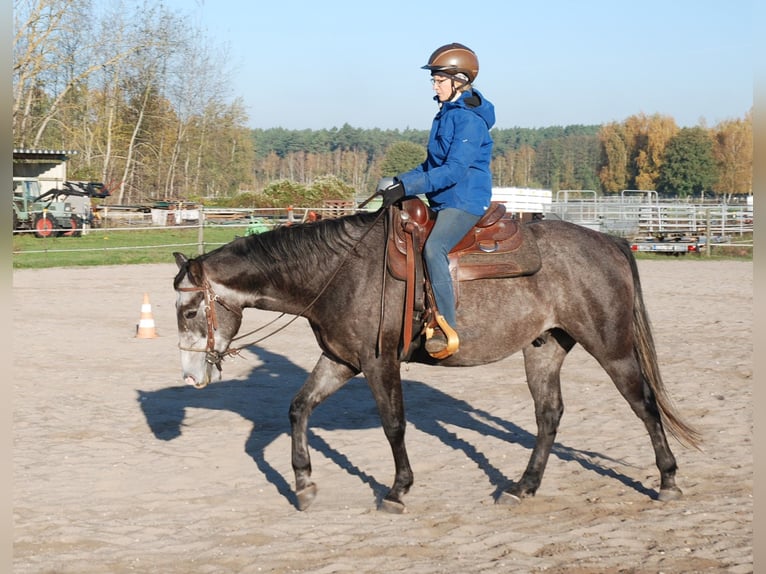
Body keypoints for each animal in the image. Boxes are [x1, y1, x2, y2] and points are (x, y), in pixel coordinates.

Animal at [174, 209, 704, 516]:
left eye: (189, 310)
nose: (191, 376)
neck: (339, 272)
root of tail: (610, 242)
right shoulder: (340, 359)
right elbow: (298, 408)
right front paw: (304, 484)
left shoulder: (377, 361)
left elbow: (393, 424)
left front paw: (397, 490)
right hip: (545, 347)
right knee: (548, 415)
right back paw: (523, 487)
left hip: (611, 346)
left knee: (644, 405)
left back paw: (668, 481)